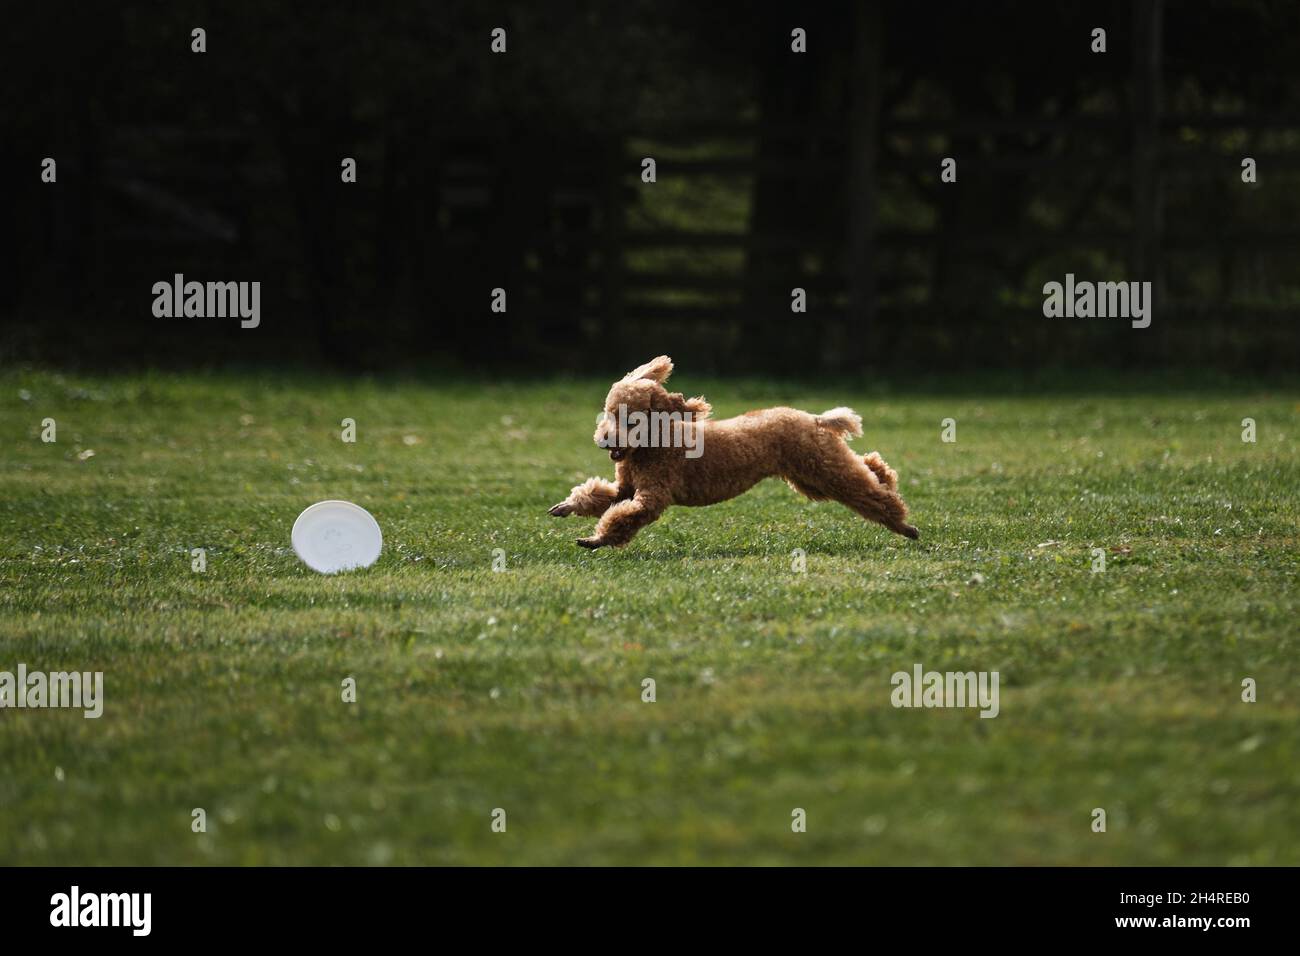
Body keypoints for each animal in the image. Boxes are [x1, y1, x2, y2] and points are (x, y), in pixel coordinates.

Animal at [543, 356, 920, 554]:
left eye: (631, 419)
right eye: (609, 413)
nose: (606, 441)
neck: (654, 444)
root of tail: (812, 418)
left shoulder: (652, 494)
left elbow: (625, 516)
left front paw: (596, 539)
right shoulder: (626, 488)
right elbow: (600, 496)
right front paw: (566, 507)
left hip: (820, 468)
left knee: (865, 490)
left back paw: (903, 525)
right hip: (812, 474)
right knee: (868, 469)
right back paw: (885, 478)